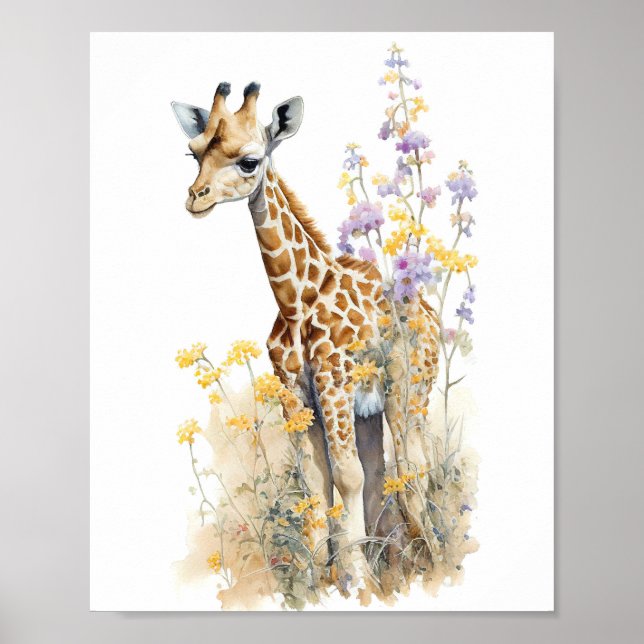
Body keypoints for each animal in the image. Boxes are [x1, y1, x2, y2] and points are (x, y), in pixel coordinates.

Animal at [172, 82, 440, 573]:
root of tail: (430, 314)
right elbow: (318, 480)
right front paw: (322, 577)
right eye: (193, 152)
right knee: (381, 472)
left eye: (249, 160)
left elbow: (347, 476)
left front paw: (355, 578)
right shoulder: (295, 392)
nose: (195, 197)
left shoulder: (333, 383)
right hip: (369, 410)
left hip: (409, 390)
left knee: (412, 467)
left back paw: (431, 556)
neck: (297, 300)